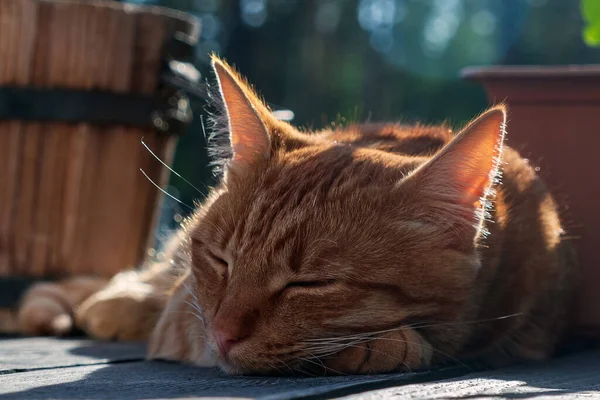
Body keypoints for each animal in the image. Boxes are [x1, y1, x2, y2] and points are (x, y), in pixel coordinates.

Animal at [14, 55, 576, 376]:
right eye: (219, 260)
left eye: (310, 285)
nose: (223, 334)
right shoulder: (185, 313)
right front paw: (387, 346)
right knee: (114, 292)